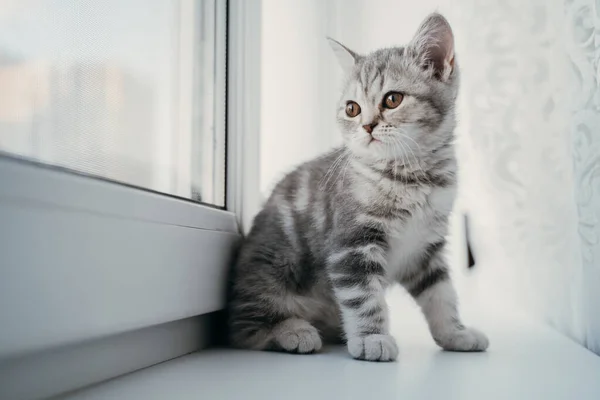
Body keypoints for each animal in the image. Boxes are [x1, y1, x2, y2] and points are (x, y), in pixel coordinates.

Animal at [229, 14, 488, 360]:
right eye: (352, 108)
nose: (367, 125)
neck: (413, 178)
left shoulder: (426, 248)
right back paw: (293, 331)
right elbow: (364, 298)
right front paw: (372, 338)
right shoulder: (351, 245)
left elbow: (441, 294)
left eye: (392, 99)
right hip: (272, 269)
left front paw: (455, 333)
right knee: (241, 327)